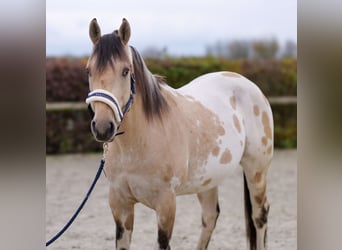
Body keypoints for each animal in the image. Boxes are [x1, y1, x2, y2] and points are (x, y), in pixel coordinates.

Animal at [85, 18, 272, 250]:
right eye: (88, 71)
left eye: (125, 71)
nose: (103, 127)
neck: (138, 142)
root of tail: (248, 84)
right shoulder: (120, 203)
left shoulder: (166, 203)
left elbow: (163, 243)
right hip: (208, 179)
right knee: (210, 217)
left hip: (256, 171)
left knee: (259, 216)